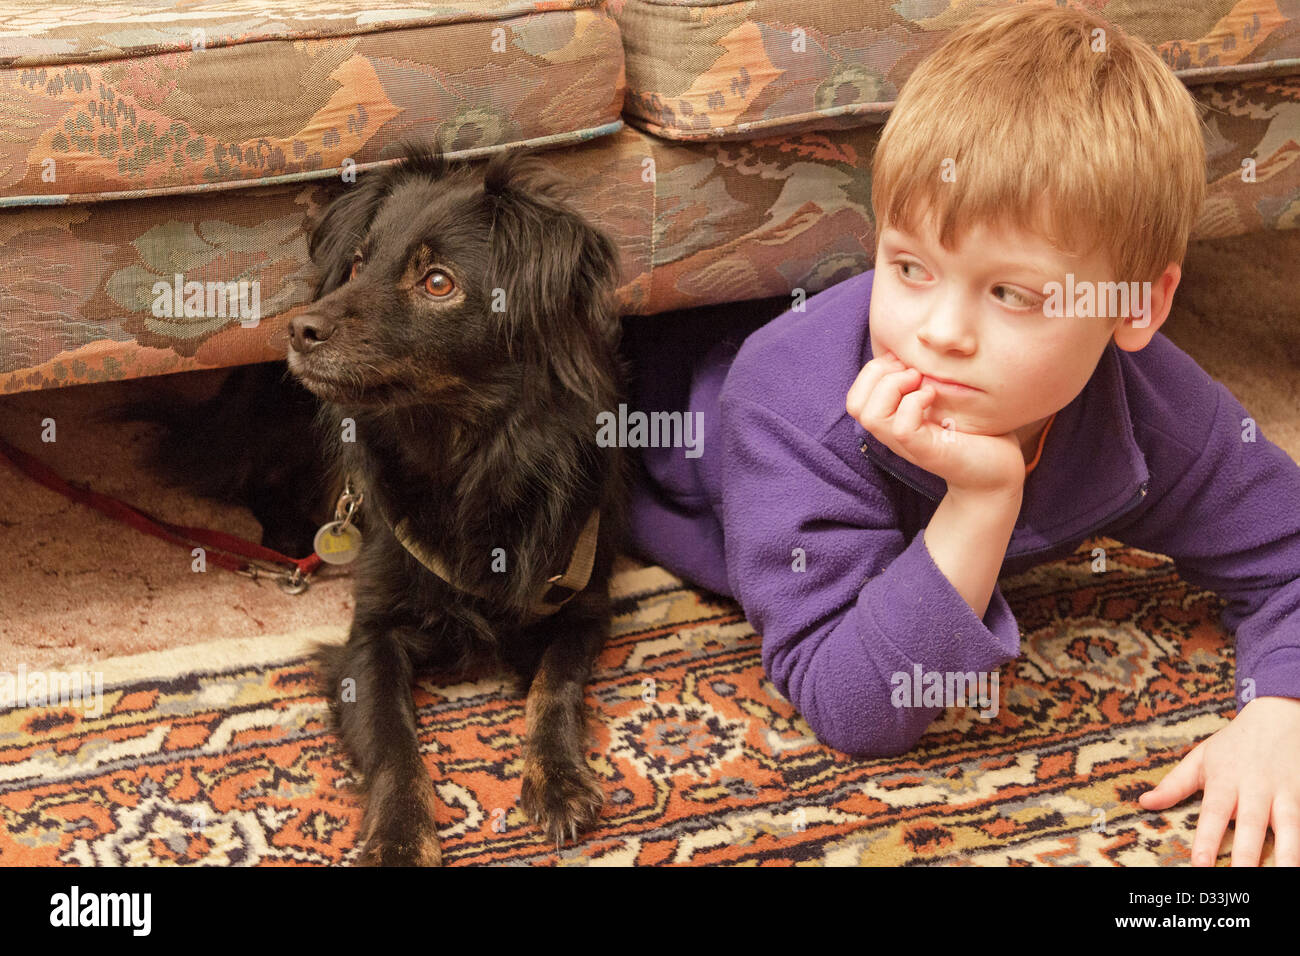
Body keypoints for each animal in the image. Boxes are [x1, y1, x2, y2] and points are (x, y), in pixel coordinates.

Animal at [122, 141, 629, 868]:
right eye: (359, 263)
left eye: (438, 283)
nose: (297, 328)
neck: (460, 450)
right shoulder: (372, 634)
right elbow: (393, 742)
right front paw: (398, 837)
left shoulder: (582, 599)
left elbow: (554, 686)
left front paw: (557, 777)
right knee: (257, 479)